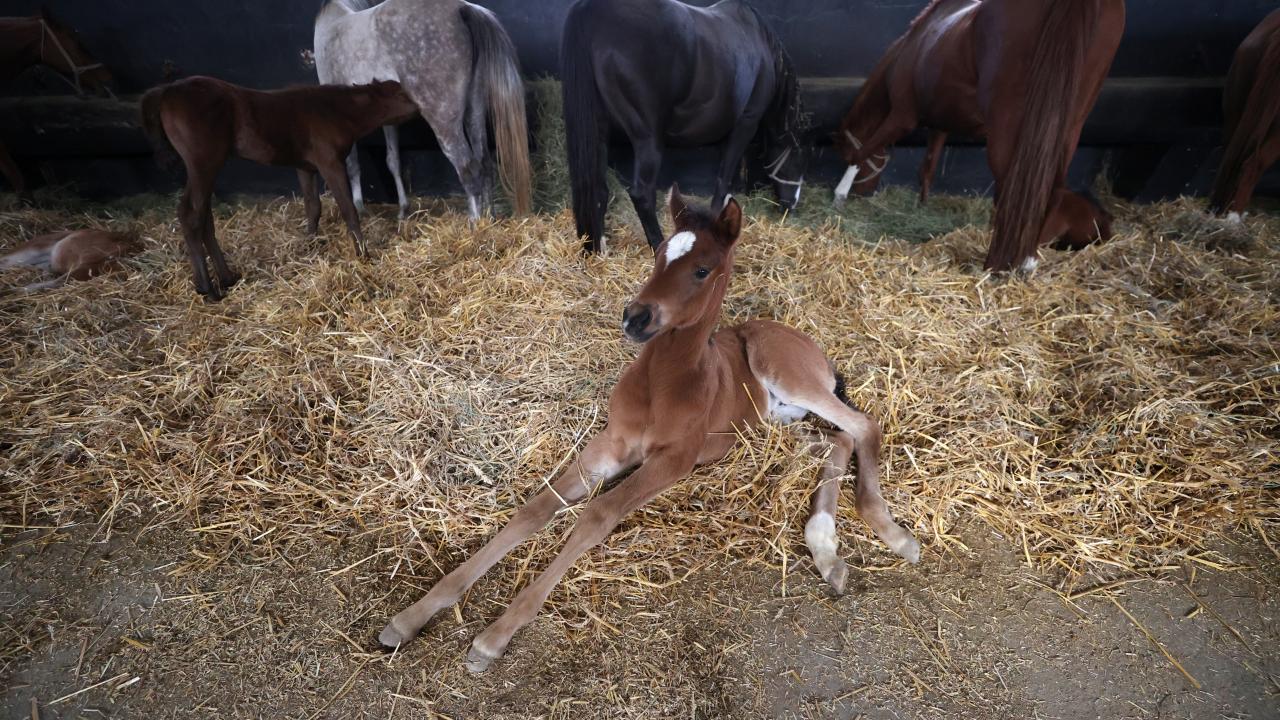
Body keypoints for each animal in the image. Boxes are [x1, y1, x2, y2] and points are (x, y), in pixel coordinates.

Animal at [140, 77, 418, 301]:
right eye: (403, 95)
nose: (420, 106)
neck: (335, 110)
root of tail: (168, 90)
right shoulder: (330, 162)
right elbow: (348, 209)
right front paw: (364, 255)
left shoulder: (305, 167)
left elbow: (313, 206)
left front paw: (310, 245)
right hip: (203, 163)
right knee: (191, 214)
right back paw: (209, 290)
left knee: (204, 217)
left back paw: (228, 277)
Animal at [313, 0, 532, 219]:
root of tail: (461, 8)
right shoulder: (387, 119)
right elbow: (393, 160)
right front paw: (403, 210)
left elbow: (352, 164)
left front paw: (359, 208)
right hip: (475, 111)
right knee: (484, 164)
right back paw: (490, 218)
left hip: (443, 121)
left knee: (468, 168)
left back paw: (475, 222)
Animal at [378, 188, 920, 671]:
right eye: (658, 252)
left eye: (702, 269)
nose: (635, 317)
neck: (665, 381)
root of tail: (813, 348)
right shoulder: (611, 445)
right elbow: (534, 510)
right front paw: (413, 616)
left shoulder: (673, 460)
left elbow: (596, 516)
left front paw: (495, 636)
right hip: (773, 425)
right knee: (836, 440)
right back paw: (827, 552)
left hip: (790, 377)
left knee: (863, 425)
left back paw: (891, 532)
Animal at [562, 0, 808, 253]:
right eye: (799, 158)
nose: (792, 204)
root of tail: (591, 10)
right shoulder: (746, 123)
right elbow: (722, 181)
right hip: (648, 138)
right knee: (642, 194)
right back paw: (658, 246)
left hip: (599, 132)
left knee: (597, 190)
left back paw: (598, 248)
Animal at [832, 0, 1125, 272]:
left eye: (843, 150)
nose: (862, 193)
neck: (914, 44)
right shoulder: (941, 124)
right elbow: (927, 169)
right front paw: (922, 207)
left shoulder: (903, 117)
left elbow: (864, 150)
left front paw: (839, 196)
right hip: (1068, 126)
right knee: (1048, 191)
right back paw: (1025, 260)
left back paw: (997, 265)